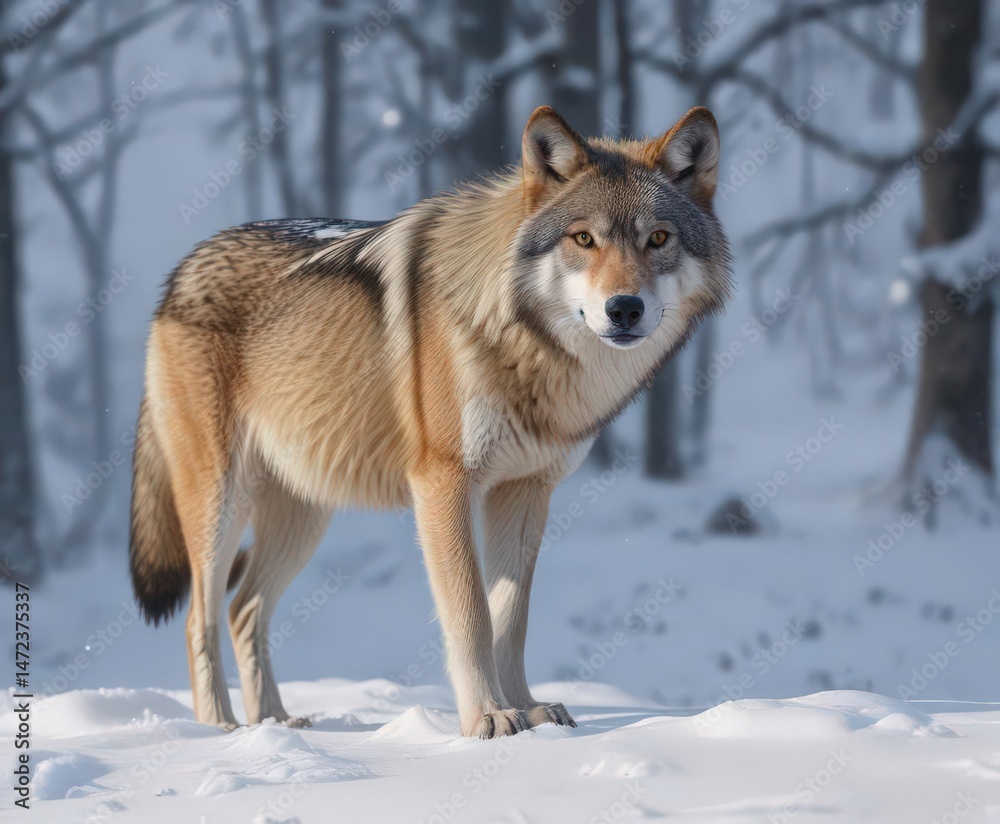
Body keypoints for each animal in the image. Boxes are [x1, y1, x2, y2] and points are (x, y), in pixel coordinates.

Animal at [129, 105, 731, 738]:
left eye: (658, 238)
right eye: (584, 239)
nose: (624, 308)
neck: (522, 346)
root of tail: (181, 270)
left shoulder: (526, 491)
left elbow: (511, 619)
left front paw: (530, 711)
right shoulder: (443, 483)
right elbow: (470, 615)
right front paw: (488, 717)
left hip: (305, 515)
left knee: (243, 607)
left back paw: (276, 723)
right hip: (222, 502)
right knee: (199, 616)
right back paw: (220, 729)